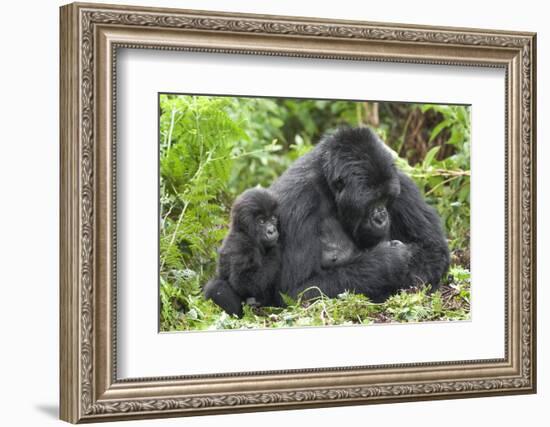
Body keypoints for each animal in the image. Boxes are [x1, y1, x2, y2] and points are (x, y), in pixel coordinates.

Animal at [203, 188, 282, 318]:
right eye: (261, 221)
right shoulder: (243, 246)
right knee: (216, 287)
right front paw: (275, 249)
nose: (272, 230)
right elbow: (245, 283)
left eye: (272, 218)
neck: (244, 231)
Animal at [270, 125, 450, 302]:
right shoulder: (299, 201)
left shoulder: (400, 180)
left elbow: (433, 249)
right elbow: (299, 290)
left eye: (385, 198)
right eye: (372, 201)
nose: (381, 216)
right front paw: (389, 261)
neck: (328, 187)